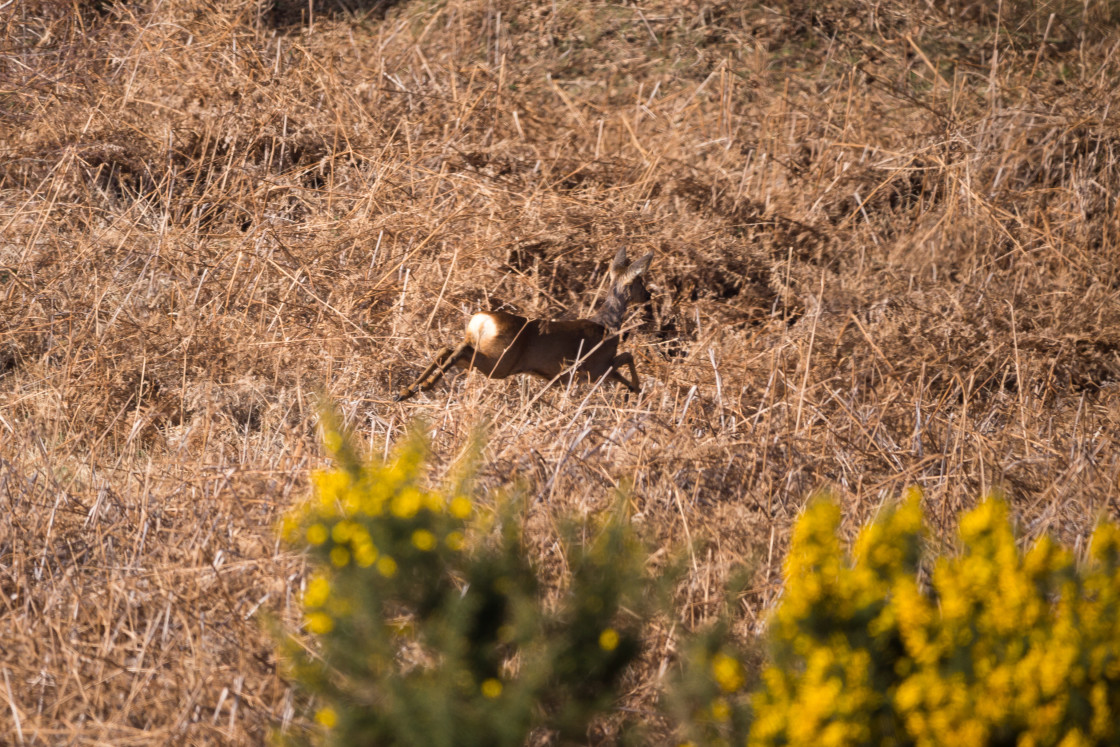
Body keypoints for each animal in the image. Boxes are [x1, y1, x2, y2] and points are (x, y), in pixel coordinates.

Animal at [394, 249, 654, 403]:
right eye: (641, 281)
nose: (648, 296)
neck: (608, 324)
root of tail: (482, 320)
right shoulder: (595, 367)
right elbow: (626, 357)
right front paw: (636, 389)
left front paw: (634, 391)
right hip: (500, 363)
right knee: (457, 350)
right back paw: (422, 386)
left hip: (486, 356)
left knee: (448, 348)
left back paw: (406, 391)